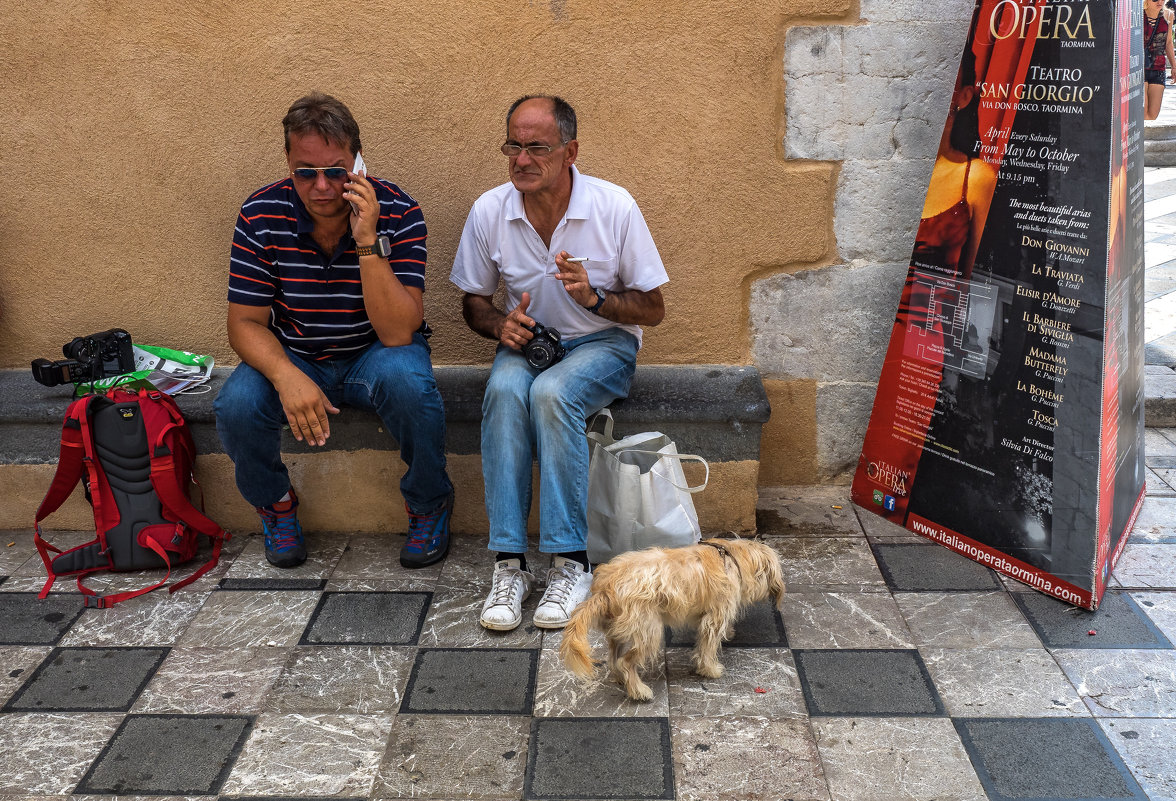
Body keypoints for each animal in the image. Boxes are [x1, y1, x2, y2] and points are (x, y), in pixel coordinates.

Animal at [557, 536, 785, 701]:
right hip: (649, 632)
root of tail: (606, 589)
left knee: (614, 657)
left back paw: (622, 679)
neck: (732, 557)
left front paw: (728, 632)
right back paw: (639, 691)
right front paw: (710, 669)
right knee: (626, 662)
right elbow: (707, 647)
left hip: (620, 631)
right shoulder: (713, 619)